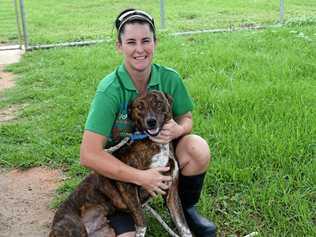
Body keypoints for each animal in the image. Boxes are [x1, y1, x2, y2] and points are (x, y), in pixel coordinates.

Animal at [49, 90, 191, 237]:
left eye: (158, 103)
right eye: (139, 107)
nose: (151, 122)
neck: (156, 144)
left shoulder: (172, 192)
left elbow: (184, 227)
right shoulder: (128, 185)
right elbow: (141, 222)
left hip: (107, 232)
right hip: (75, 228)